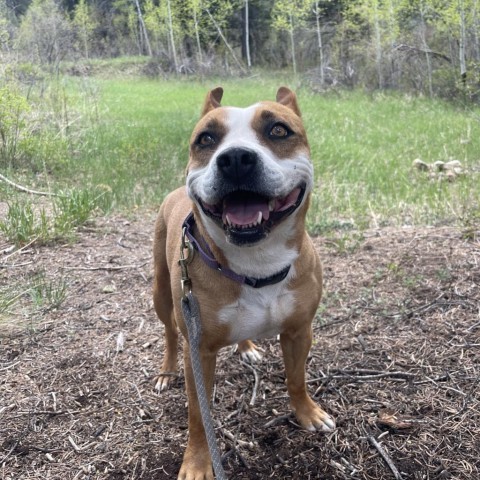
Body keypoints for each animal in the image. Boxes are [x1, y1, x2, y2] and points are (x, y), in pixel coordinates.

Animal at [153, 87, 334, 480]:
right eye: (206, 139)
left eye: (279, 130)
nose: (235, 158)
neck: (257, 264)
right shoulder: (198, 352)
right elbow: (198, 414)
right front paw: (197, 462)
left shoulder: (299, 331)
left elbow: (296, 378)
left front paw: (308, 414)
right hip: (161, 295)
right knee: (170, 332)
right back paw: (165, 371)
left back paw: (246, 345)